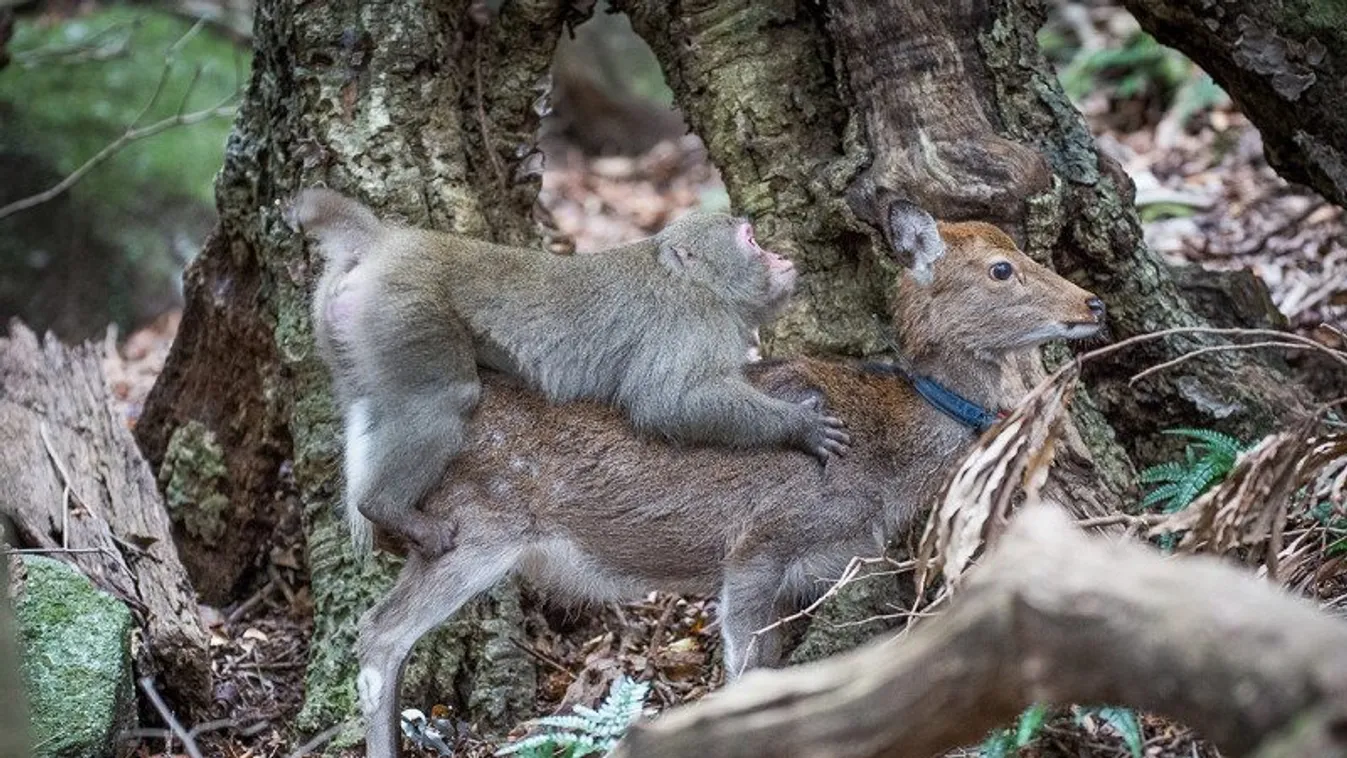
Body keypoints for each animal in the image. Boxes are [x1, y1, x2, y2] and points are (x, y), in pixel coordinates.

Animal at [293, 189, 845, 557]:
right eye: (750, 240)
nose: (780, 254)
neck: (698, 283)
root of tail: (388, 243)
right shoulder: (691, 321)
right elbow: (665, 403)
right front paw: (798, 424)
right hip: (405, 308)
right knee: (446, 397)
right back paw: (388, 507)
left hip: (350, 326)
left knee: (368, 403)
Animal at [344, 204, 1104, 753]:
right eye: (1002, 269)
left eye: (1020, 248)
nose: (1091, 303)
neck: (880, 460)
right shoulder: (757, 546)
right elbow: (742, 678)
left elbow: (769, 678)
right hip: (474, 527)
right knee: (379, 634)